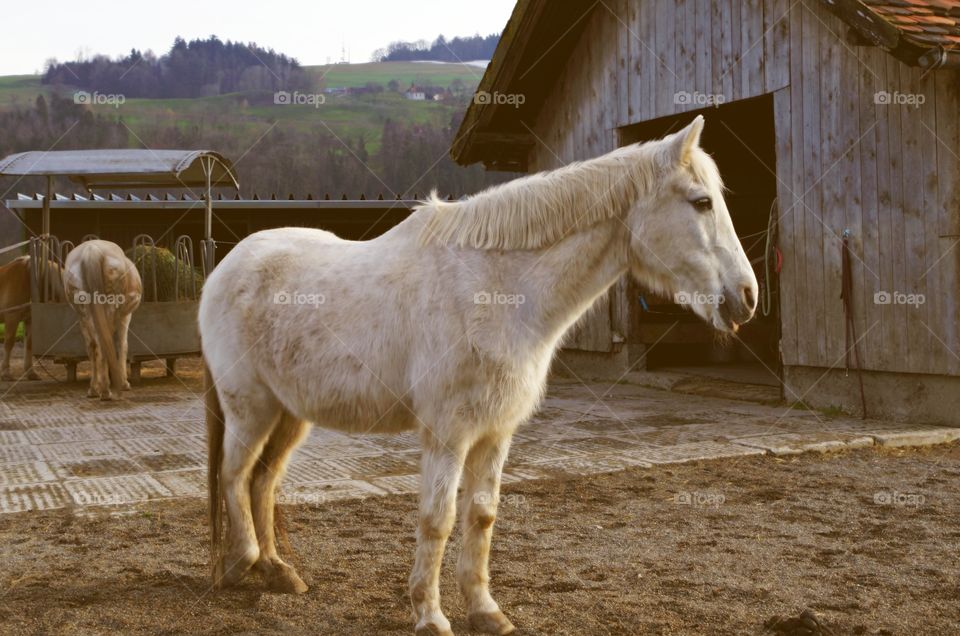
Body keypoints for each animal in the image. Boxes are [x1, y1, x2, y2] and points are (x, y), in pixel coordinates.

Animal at [201, 117, 756, 632]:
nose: (747, 298)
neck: (495, 288)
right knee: (235, 475)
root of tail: (227, 266)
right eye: (701, 202)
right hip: (249, 408)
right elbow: (438, 518)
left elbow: (481, 516)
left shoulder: (495, 431)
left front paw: (485, 610)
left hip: (289, 413)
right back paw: (240, 566)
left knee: (263, 482)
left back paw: (277, 571)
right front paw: (429, 614)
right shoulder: (447, 433)